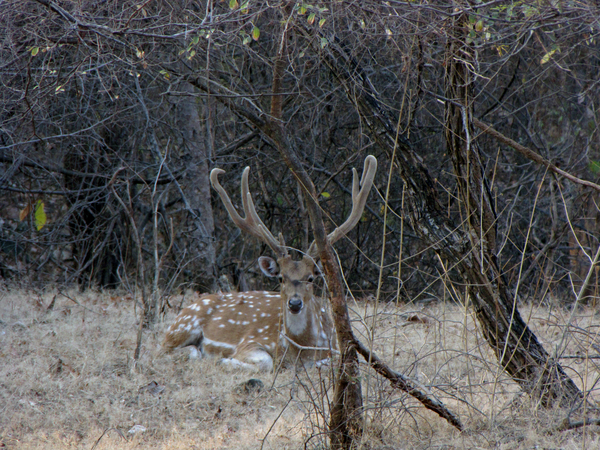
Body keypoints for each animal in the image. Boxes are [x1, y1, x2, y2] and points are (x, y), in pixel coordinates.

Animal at [159, 156, 376, 370]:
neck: (301, 351)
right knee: (165, 350)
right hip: (184, 324)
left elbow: (330, 363)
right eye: (281, 278)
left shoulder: (334, 348)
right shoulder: (250, 341)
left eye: (311, 278)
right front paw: (225, 360)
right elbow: (266, 362)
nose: (294, 303)